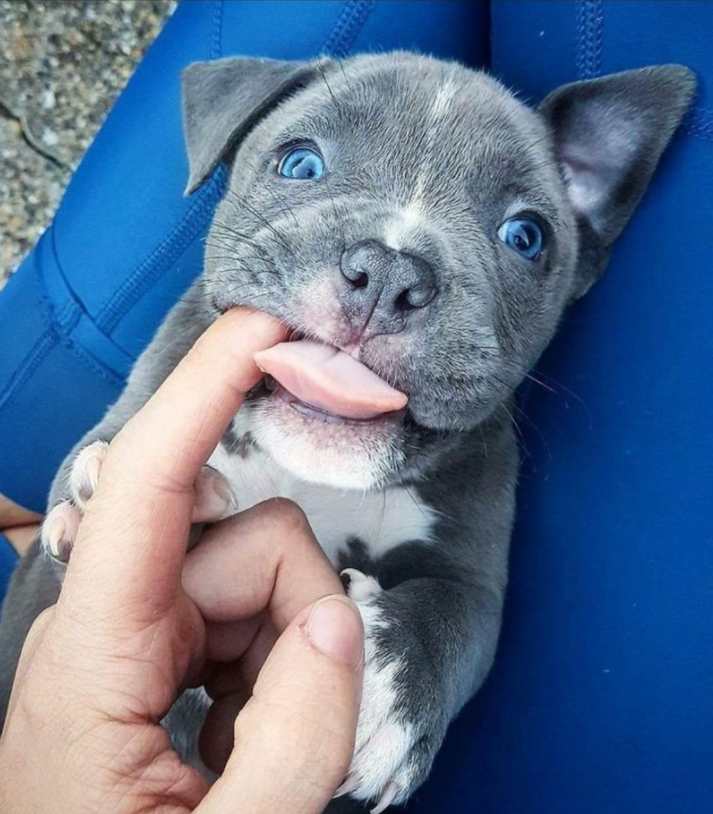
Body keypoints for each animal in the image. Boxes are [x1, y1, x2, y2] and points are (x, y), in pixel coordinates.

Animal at [0, 54, 692, 812]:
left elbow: (453, 614)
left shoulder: (475, 571)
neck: (310, 473)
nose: (390, 269)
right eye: (299, 163)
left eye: (526, 237)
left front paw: (386, 688)